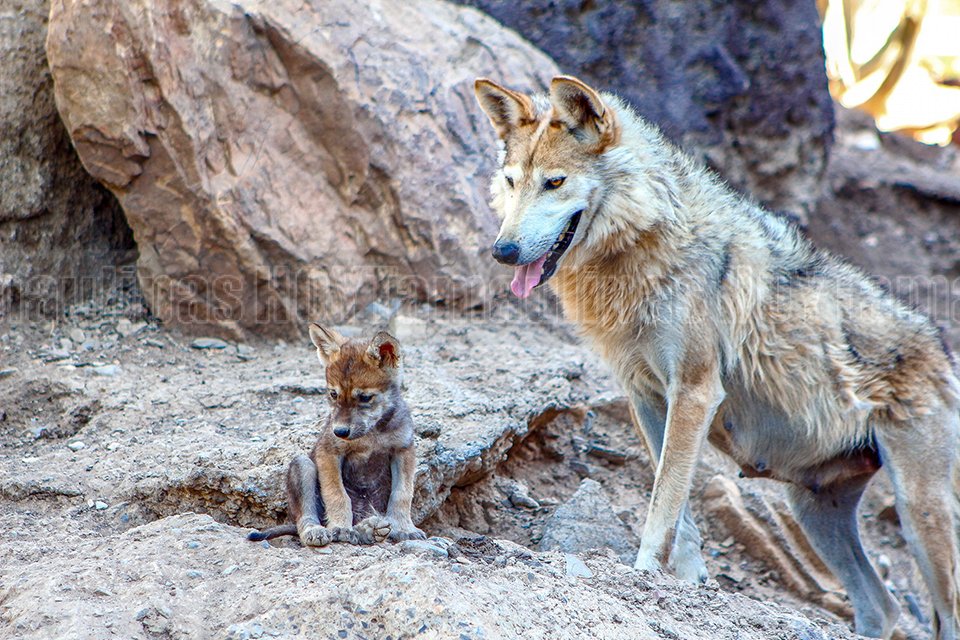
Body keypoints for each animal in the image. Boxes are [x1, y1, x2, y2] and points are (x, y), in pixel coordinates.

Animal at [248, 324, 425, 546]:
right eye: (333, 394)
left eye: (365, 397)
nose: (339, 431)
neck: (372, 434)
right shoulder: (329, 452)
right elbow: (337, 494)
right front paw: (340, 527)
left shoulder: (403, 450)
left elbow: (402, 494)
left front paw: (404, 528)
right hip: (302, 465)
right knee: (305, 518)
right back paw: (319, 531)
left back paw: (370, 529)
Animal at [475, 75, 960, 639]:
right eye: (512, 181)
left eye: (554, 183)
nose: (503, 251)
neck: (645, 246)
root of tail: (941, 348)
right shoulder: (646, 397)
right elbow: (677, 509)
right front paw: (685, 582)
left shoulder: (695, 391)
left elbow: (664, 502)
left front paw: (645, 572)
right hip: (814, 513)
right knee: (882, 605)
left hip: (917, 513)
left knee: (939, 612)